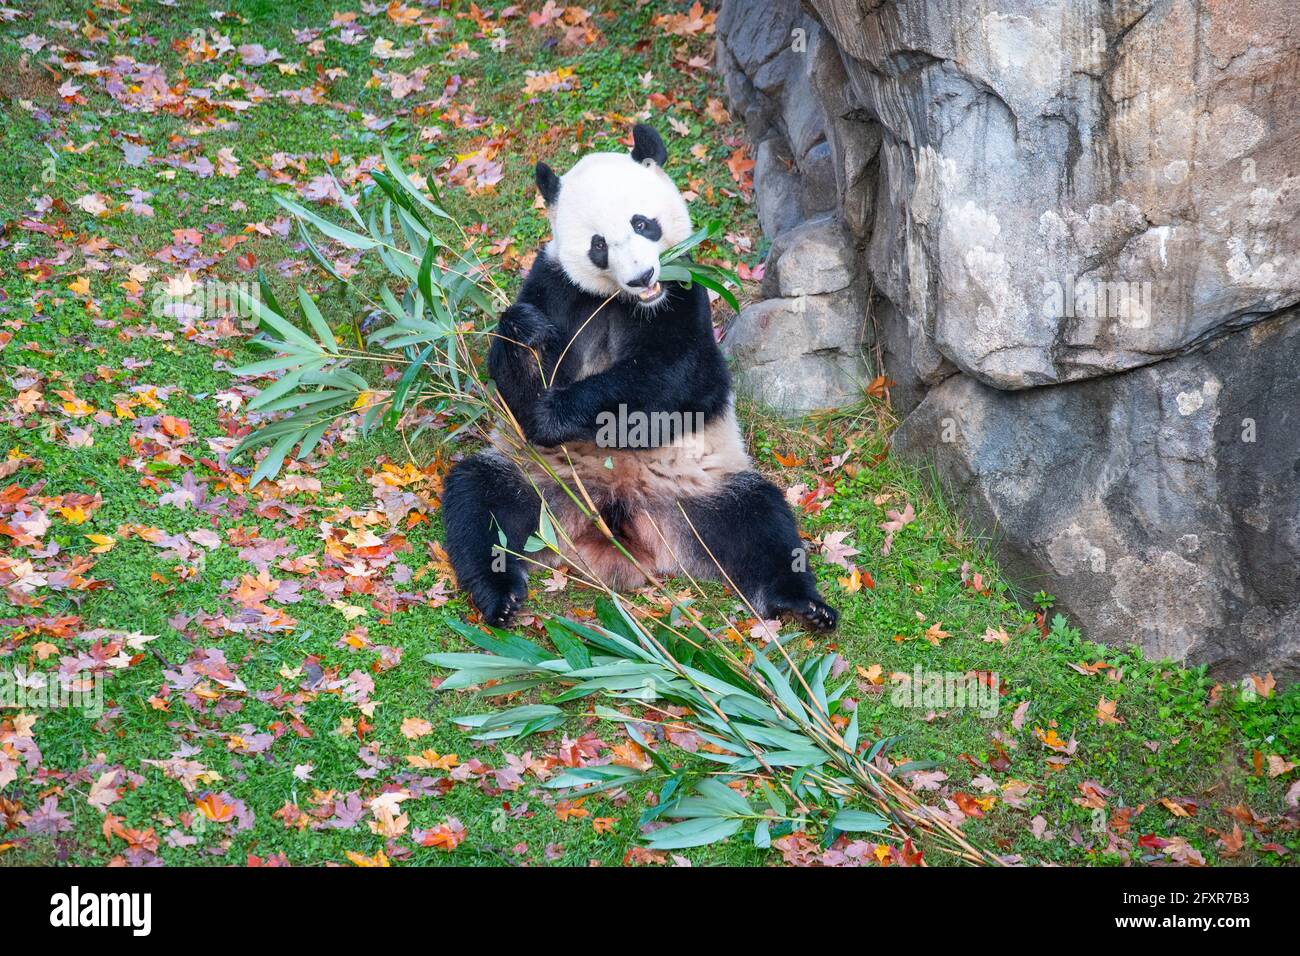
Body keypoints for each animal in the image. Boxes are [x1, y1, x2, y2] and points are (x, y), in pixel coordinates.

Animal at [441, 125, 837, 634]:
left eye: (643, 223)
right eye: (598, 245)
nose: (642, 276)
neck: (624, 301)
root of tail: (617, 516)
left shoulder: (685, 293)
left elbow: (679, 379)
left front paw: (558, 413)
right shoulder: (554, 285)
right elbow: (514, 386)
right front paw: (523, 333)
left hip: (701, 491)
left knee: (761, 523)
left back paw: (803, 604)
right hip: (536, 480)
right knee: (482, 506)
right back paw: (500, 596)